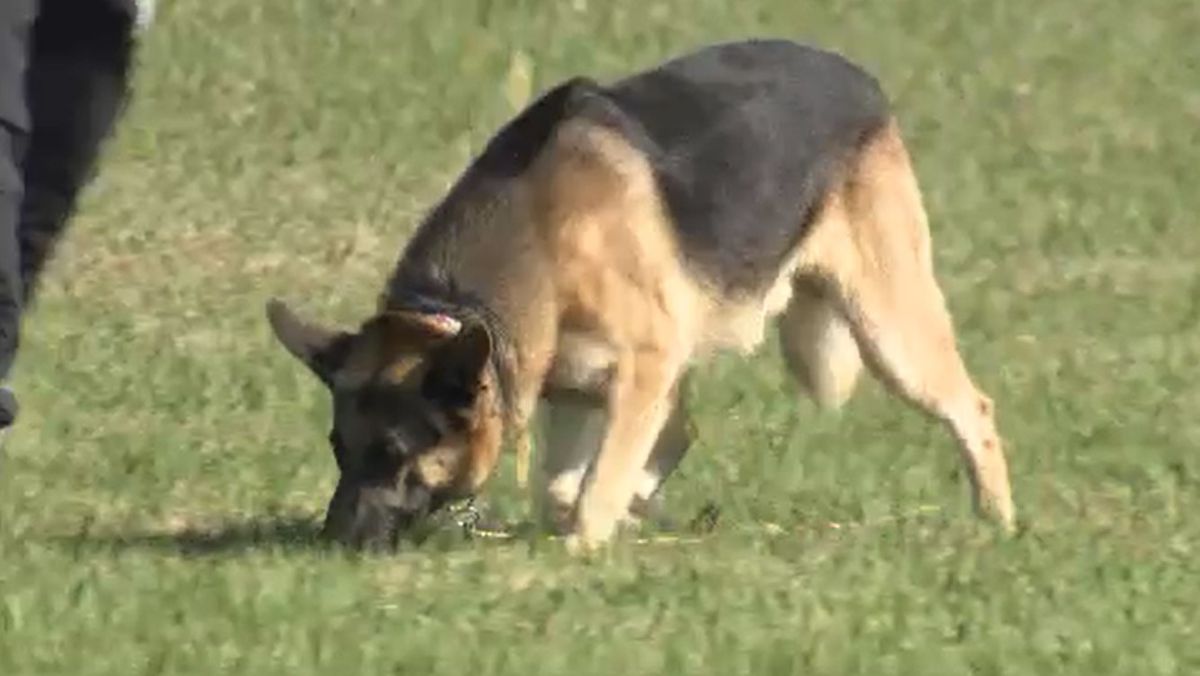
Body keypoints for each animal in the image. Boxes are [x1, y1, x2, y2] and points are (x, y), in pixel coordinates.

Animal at [265, 39, 1012, 552]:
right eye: (338, 449)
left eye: (394, 453)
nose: (331, 544)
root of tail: (862, 80)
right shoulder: (575, 387)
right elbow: (565, 486)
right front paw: (621, 516)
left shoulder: (645, 371)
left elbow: (598, 486)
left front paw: (585, 548)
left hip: (889, 329)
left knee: (972, 407)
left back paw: (997, 522)